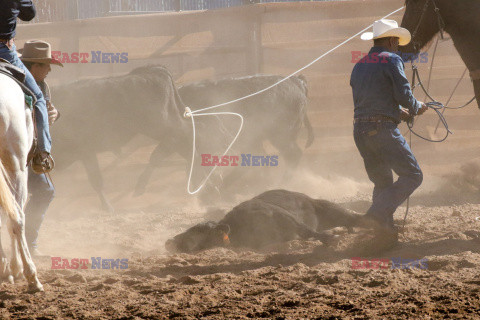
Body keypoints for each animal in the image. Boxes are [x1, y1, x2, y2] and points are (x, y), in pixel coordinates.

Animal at [164, 189, 360, 254]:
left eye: (196, 231)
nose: (169, 241)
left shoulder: (283, 216)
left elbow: (307, 230)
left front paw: (331, 238)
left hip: (329, 207)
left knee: (354, 217)